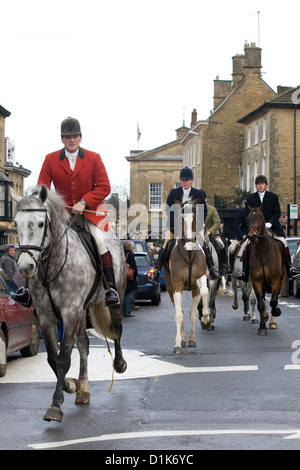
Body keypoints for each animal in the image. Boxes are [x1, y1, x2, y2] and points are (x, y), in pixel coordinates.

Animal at [164, 197, 209, 352]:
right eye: (181, 218)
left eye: (195, 217)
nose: (189, 245)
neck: (189, 254)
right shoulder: (177, 285)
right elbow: (179, 315)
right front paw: (178, 344)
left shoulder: (200, 278)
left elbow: (204, 291)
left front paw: (206, 317)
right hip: (170, 289)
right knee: (181, 312)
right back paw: (182, 339)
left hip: (193, 289)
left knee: (191, 313)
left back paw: (191, 338)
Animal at [245, 205, 284, 334]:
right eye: (247, 218)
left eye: (261, 217)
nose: (252, 236)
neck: (263, 251)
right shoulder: (256, 281)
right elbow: (261, 304)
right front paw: (262, 326)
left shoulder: (276, 281)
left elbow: (274, 301)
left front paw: (276, 312)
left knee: (272, 300)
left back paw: (272, 322)